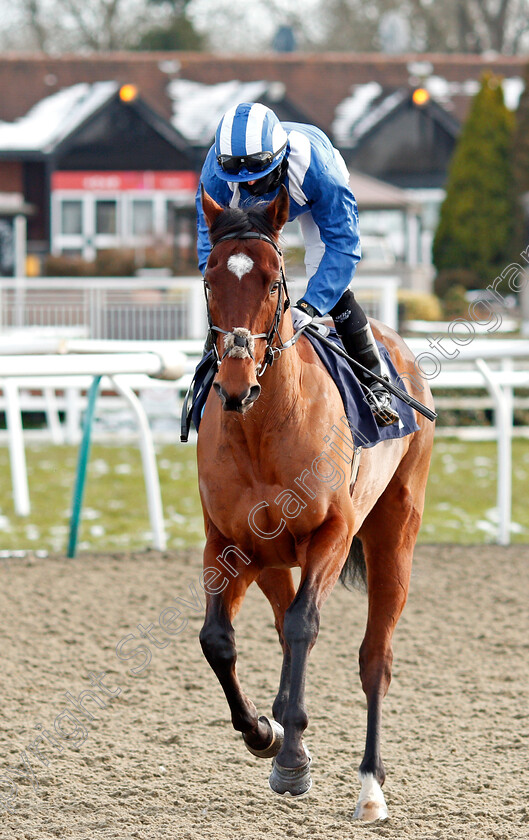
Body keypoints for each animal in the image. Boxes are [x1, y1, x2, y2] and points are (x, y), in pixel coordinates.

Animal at [195, 184, 434, 820]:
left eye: (272, 279)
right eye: (209, 277)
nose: (235, 383)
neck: (262, 429)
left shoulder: (331, 533)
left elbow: (306, 626)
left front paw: (290, 754)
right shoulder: (228, 542)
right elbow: (217, 640)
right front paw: (266, 733)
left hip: (394, 534)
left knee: (375, 658)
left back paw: (370, 786)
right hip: (272, 560)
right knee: (281, 631)